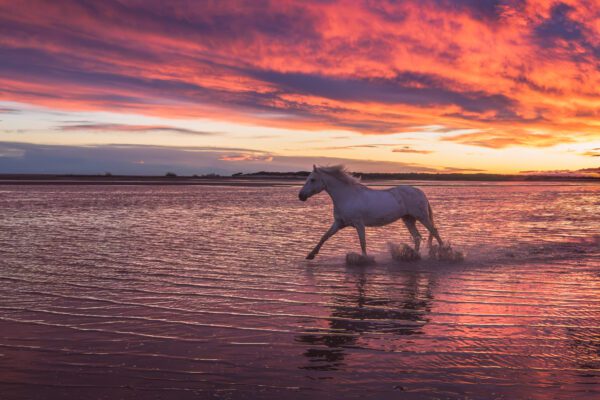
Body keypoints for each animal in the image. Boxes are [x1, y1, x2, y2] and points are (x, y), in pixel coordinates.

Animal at [298, 165, 442, 260]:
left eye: (312, 179)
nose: (301, 196)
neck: (347, 197)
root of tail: (420, 192)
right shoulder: (339, 223)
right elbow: (324, 237)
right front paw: (310, 255)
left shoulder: (359, 224)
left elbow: (363, 242)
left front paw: (364, 259)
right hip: (408, 219)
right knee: (417, 237)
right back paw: (414, 256)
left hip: (421, 217)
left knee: (434, 231)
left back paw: (444, 252)